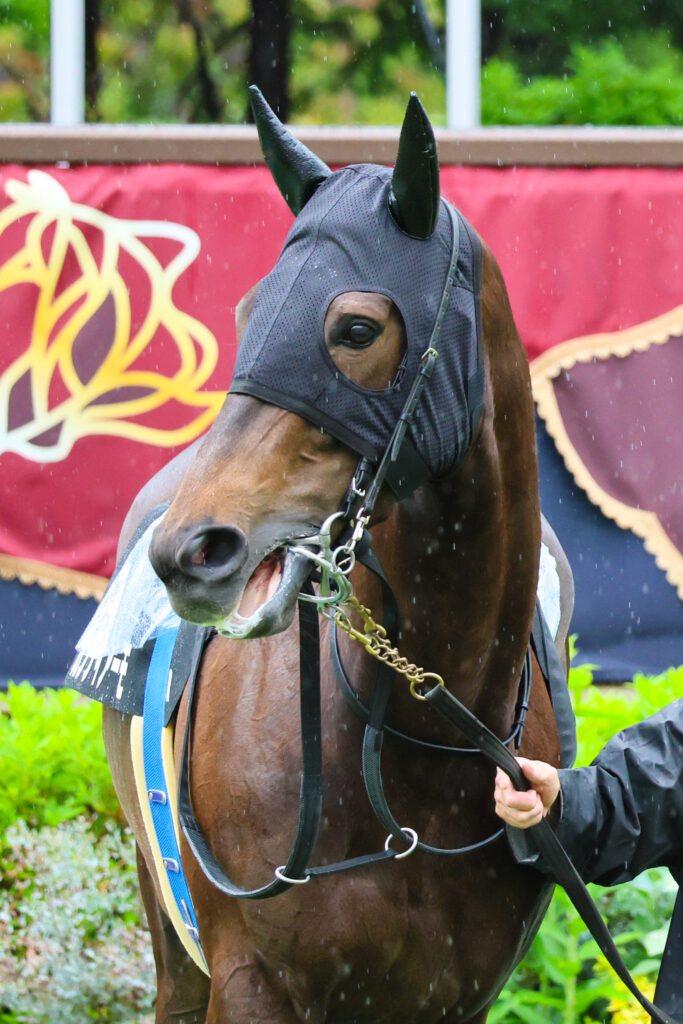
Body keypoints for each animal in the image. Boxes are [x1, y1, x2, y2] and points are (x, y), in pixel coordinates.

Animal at [102, 89, 574, 1024]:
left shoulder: (455, 996)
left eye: (353, 328)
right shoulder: (250, 980)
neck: (418, 740)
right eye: (247, 314)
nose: (190, 551)